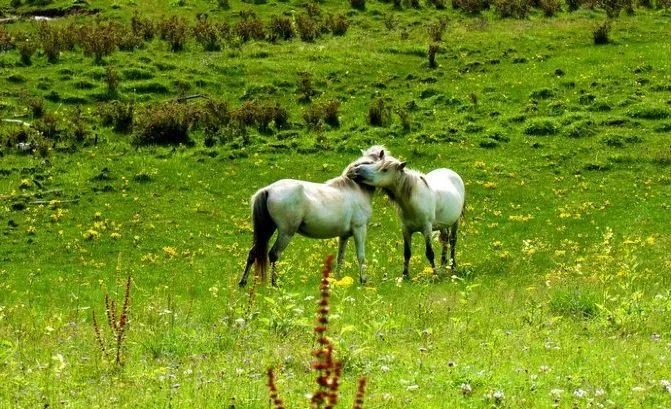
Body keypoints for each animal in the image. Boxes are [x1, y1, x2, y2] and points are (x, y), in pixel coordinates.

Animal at [240, 145, 392, 286]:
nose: (356, 172)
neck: (355, 188)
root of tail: (268, 190)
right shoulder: (360, 229)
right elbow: (360, 256)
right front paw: (363, 280)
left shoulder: (343, 236)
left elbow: (340, 258)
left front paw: (337, 280)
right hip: (286, 232)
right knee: (273, 254)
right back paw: (274, 284)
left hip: (268, 229)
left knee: (253, 253)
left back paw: (243, 283)